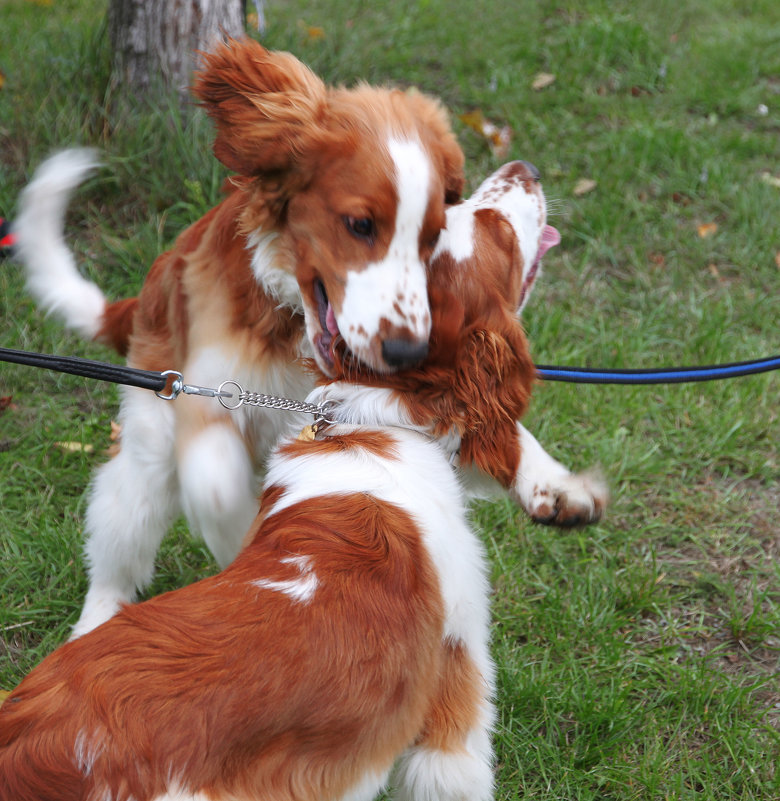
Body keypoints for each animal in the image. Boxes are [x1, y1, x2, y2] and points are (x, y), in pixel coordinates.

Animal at [15, 37, 608, 636]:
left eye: (433, 231)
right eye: (361, 226)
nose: (406, 352)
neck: (295, 330)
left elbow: (489, 424)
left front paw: (557, 484)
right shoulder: (208, 393)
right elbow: (217, 485)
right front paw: (255, 545)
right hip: (149, 443)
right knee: (119, 545)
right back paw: (98, 618)